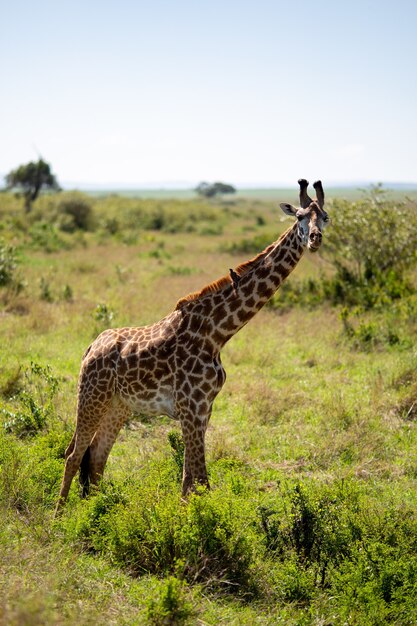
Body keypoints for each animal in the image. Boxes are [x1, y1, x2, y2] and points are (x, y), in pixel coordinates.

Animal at [54, 178, 328, 510]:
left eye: (324, 217)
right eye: (299, 217)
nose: (314, 239)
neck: (217, 333)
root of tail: (91, 347)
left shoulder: (204, 407)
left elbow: (191, 480)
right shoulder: (191, 406)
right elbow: (197, 480)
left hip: (119, 406)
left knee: (96, 457)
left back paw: (97, 512)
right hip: (91, 397)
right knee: (73, 454)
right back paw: (59, 514)